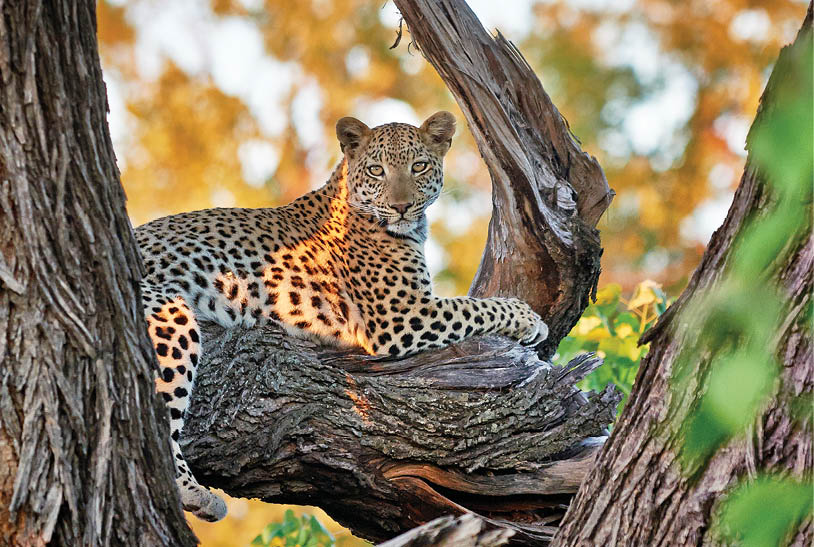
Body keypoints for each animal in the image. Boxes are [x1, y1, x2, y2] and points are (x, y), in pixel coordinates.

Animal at [135, 111, 548, 522]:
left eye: (418, 166)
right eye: (378, 170)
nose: (401, 206)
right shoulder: (402, 314)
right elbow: (474, 306)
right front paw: (529, 319)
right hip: (168, 312)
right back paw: (195, 494)